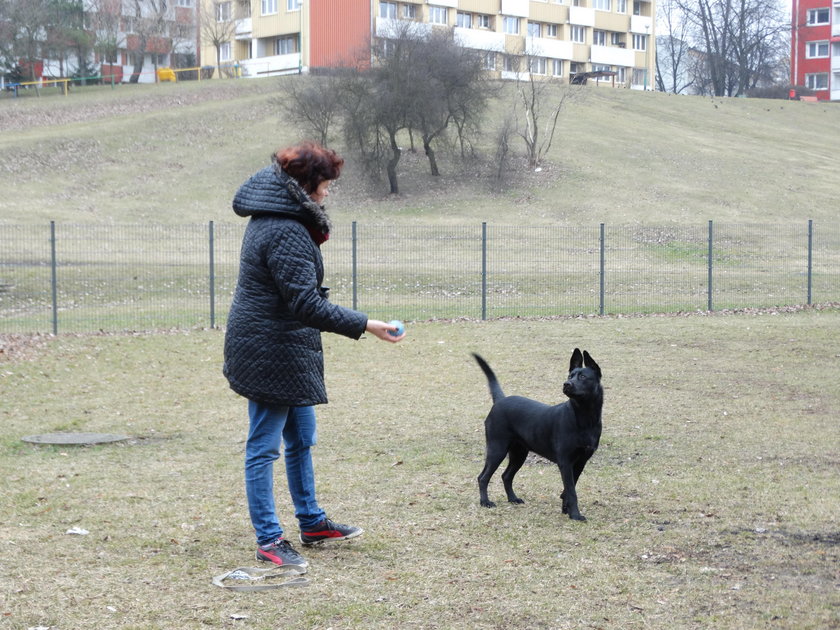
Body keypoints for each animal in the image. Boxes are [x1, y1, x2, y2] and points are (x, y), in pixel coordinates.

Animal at [472, 350, 604, 524]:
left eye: (582, 377)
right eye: (570, 376)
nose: (566, 384)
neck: (584, 418)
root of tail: (501, 400)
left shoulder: (580, 462)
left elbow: (569, 489)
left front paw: (566, 510)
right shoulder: (565, 462)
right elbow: (571, 491)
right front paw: (575, 515)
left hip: (519, 453)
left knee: (506, 476)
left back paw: (513, 499)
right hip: (497, 449)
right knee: (483, 477)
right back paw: (485, 502)